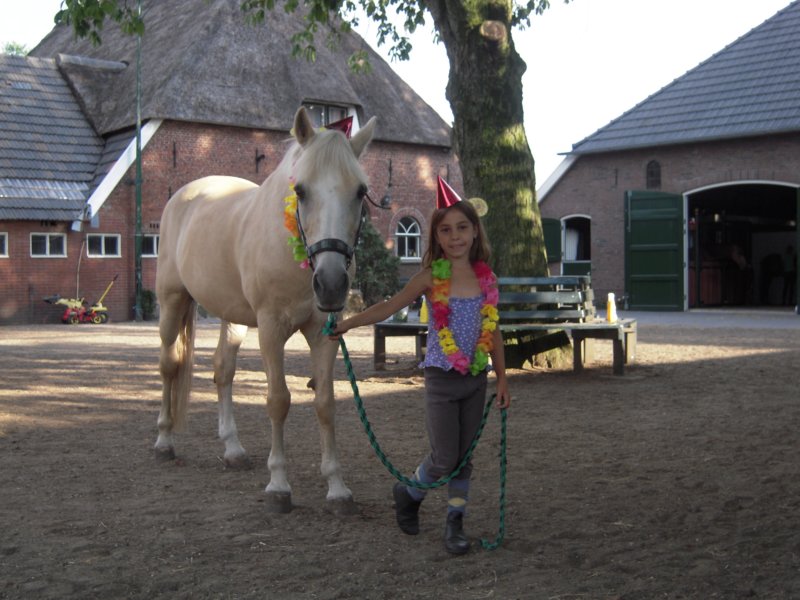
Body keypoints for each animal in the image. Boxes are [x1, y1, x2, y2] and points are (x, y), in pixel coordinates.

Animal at [154, 107, 376, 514]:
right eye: (300, 190)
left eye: (360, 191)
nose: (331, 283)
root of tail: (185, 195)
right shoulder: (271, 329)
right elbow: (278, 401)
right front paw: (279, 486)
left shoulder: (324, 332)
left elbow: (325, 402)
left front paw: (337, 488)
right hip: (171, 302)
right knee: (169, 365)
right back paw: (164, 442)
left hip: (233, 317)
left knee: (222, 370)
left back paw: (233, 449)